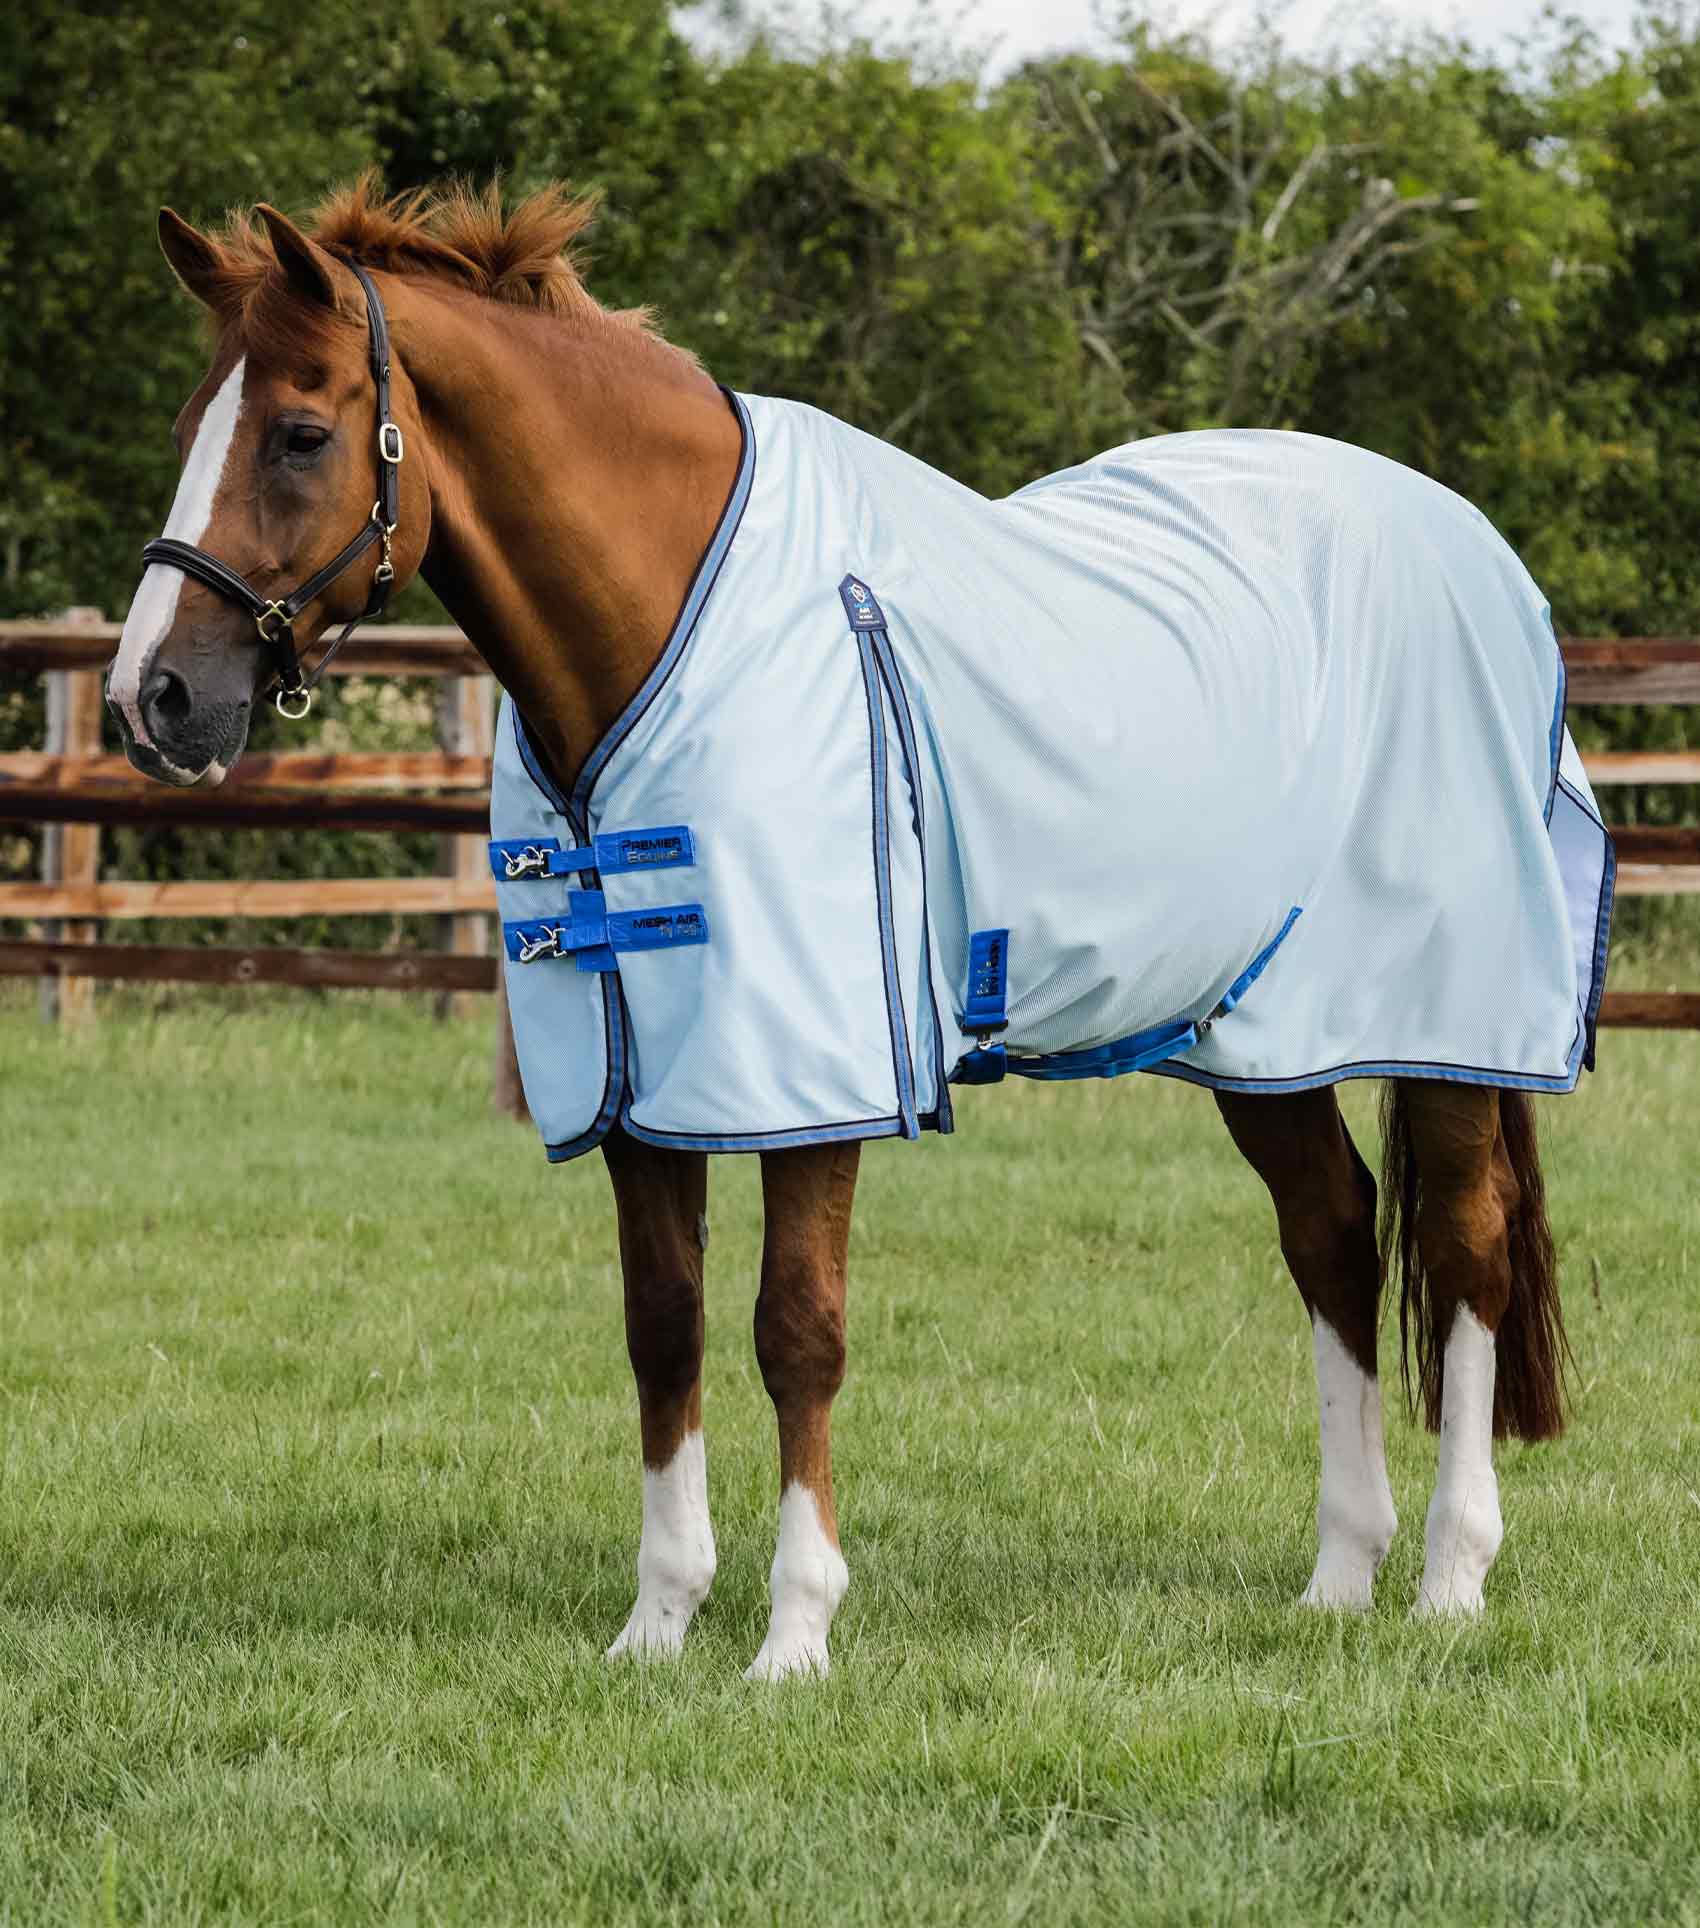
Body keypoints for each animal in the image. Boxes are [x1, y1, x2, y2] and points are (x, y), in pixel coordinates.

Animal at [107, 179, 1608, 1680]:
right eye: (187, 425)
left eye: (301, 433)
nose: (151, 698)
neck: (670, 616)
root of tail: (1475, 552)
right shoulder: (644, 1084)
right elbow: (663, 1327)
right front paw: (657, 1623)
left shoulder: (809, 1079)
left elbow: (796, 1330)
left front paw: (793, 1635)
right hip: (1258, 1032)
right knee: (1334, 1236)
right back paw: (1339, 1576)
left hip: (1445, 1024)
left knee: (1462, 1252)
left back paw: (1449, 1578)